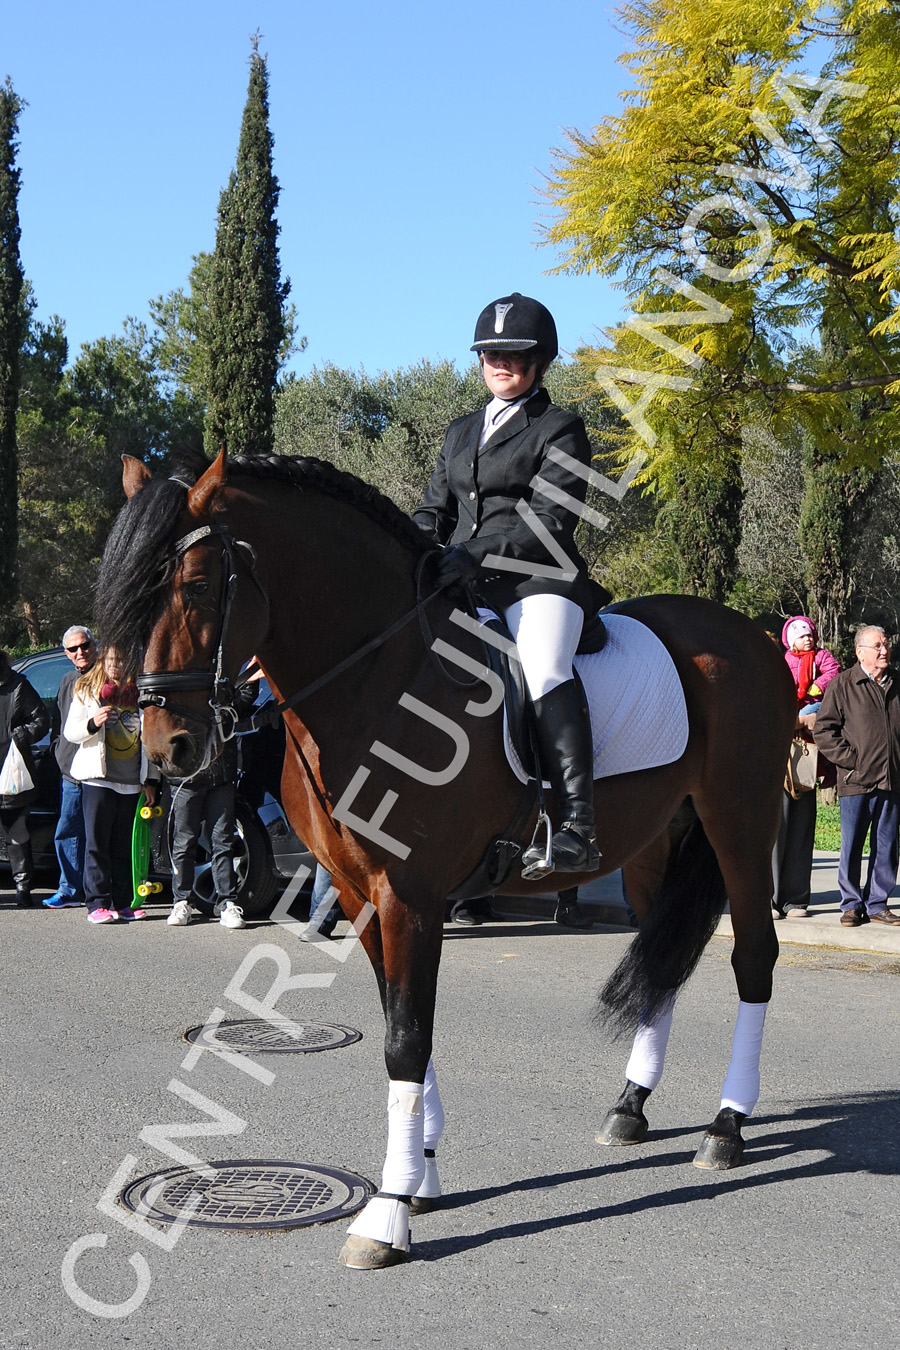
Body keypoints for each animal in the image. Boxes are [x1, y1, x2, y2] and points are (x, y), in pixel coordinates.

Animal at [97, 450, 793, 1263]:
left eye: (199, 584)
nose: (167, 751)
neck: (379, 679)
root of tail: (751, 635)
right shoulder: (362, 893)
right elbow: (403, 1024)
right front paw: (421, 1178)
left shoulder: (411, 894)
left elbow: (406, 1037)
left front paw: (388, 1212)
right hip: (656, 842)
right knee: (662, 961)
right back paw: (630, 1107)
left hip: (740, 821)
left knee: (753, 957)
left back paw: (727, 1125)